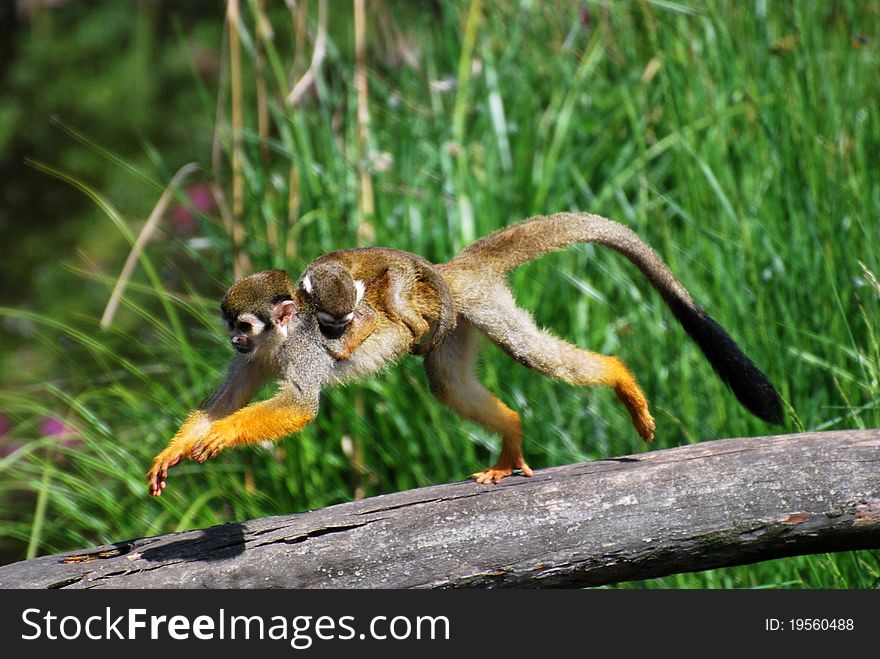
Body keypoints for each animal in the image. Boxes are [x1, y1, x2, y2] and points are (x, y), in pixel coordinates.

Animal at [150, 211, 784, 496]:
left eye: (244, 324)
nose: (234, 338)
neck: (279, 341)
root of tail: (448, 275)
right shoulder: (255, 359)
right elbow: (226, 397)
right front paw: (178, 448)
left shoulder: (303, 350)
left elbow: (301, 405)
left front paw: (217, 437)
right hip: (453, 330)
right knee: (448, 385)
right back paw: (511, 432)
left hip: (478, 309)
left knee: (531, 353)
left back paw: (618, 377)